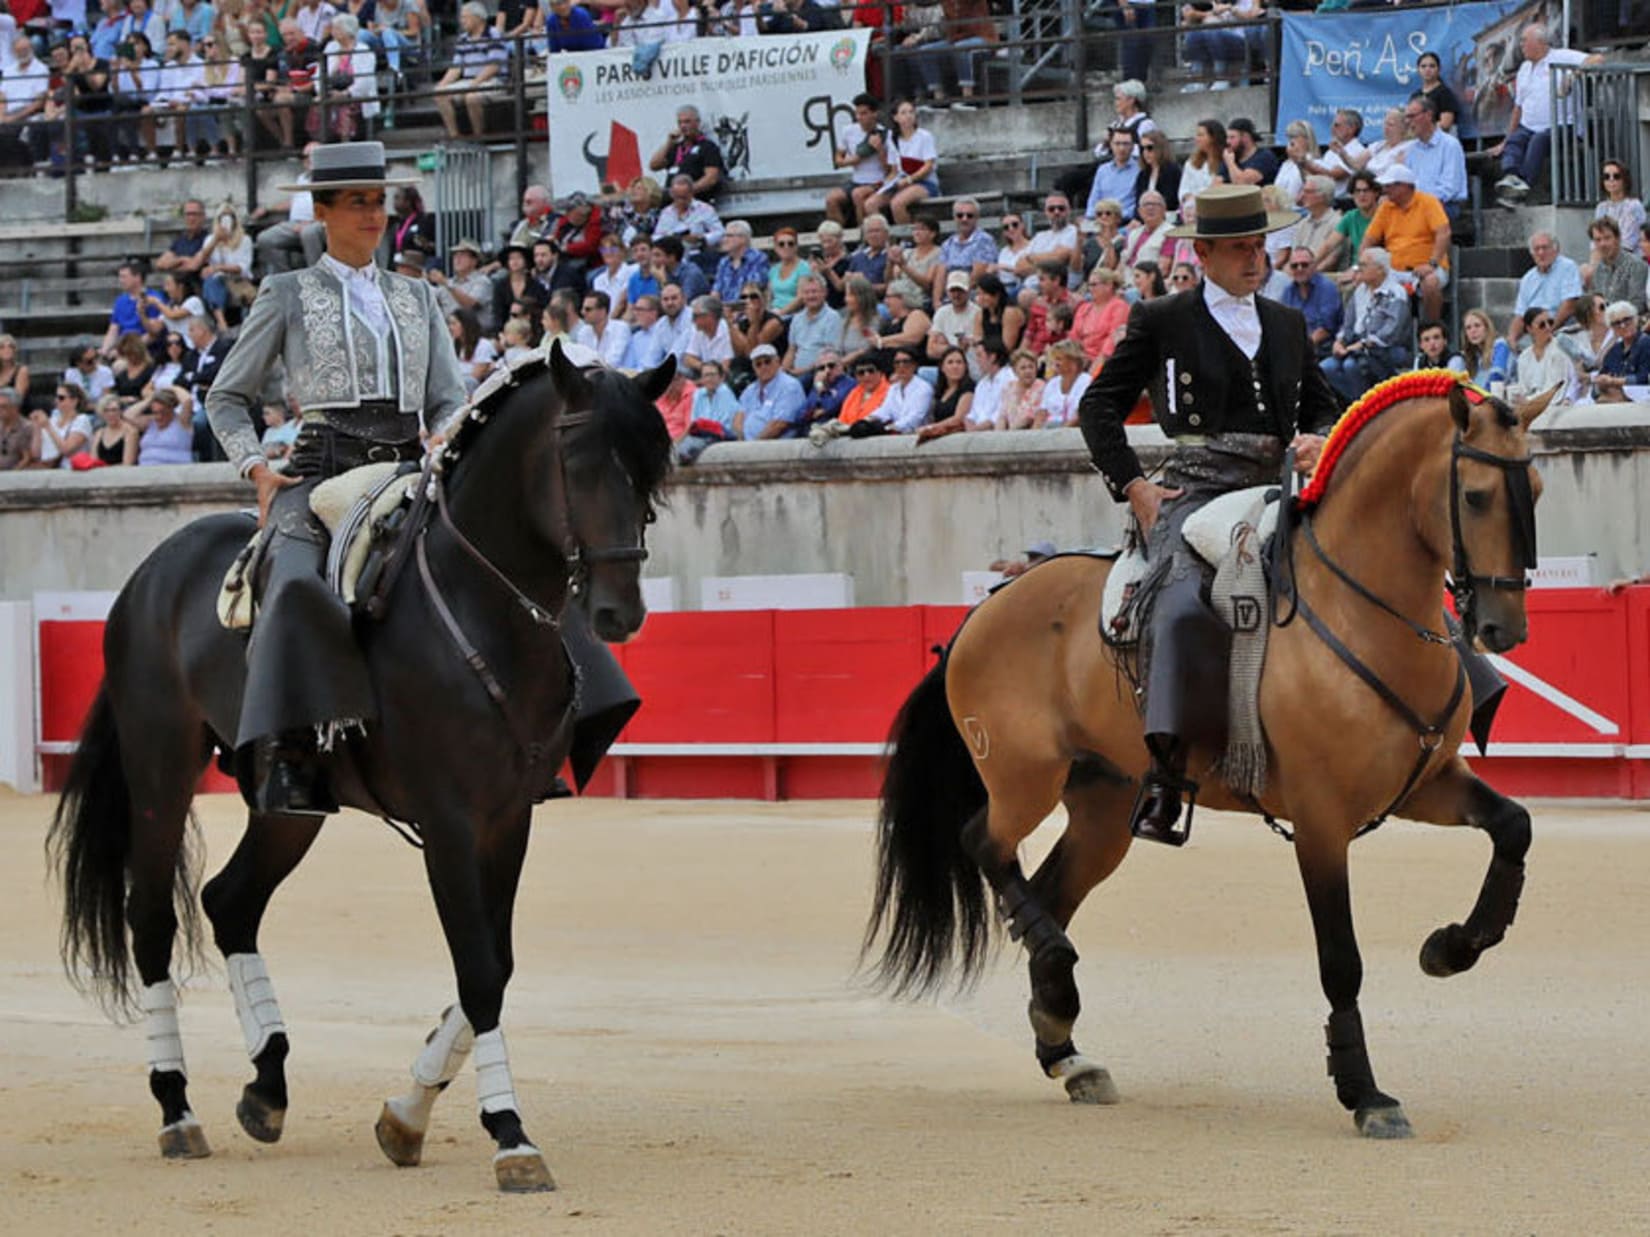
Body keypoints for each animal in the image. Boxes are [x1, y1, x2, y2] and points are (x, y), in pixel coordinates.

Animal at [46, 344, 676, 1194]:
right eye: (575, 462)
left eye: (650, 470)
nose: (619, 611)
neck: (480, 609)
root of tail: (151, 573)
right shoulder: (450, 820)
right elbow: (480, 968)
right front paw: (510, 1135)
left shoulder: (509, 816)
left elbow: (496, 964)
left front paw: (405, 1114)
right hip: (159, 766)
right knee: (151, 917)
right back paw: (178, 1109)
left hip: (285, 800)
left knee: (231, 900)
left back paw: (267, 1086)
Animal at [864, 372, 1557, 1141]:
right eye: (1477, 495)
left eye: (1537, 487)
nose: (1504, 628)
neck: (1359, 611)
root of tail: (983, 610)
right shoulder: (1321, 819)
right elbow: (1340, 958)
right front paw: (1366, 1092)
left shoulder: (1426, 782)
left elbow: (1515, 825)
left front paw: (1451, 946)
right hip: (1022, 777)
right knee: (983, 841)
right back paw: (1058, 990)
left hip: (1102, 804)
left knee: (1047, 888)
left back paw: (1065, 1042)